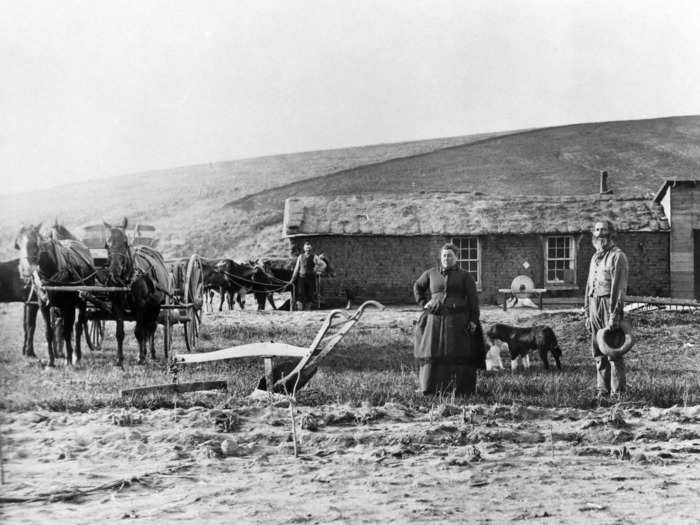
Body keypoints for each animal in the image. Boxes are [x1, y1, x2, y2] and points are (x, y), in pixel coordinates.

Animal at [14, 221, 95, 364]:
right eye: (18, 245)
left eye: (36, 243)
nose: (25, 271)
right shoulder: (43, 306)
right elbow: (49, 332)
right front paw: (51, 362)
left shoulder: (68, 306)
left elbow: (67, 331)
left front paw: (69, 360)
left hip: (82, 301)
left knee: (78, 326)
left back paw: (76, 354)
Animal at [102, 217, 170, 364]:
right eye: (106, 244)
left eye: (125, 242)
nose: (115, 270)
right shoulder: (117, 305)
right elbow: (120, 333)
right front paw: (119, 358)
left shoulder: (140, 305)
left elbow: (139, 332)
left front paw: (140, 358)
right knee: (146, 328)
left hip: (156, 306)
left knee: (151, 328)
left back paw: (151, 353)